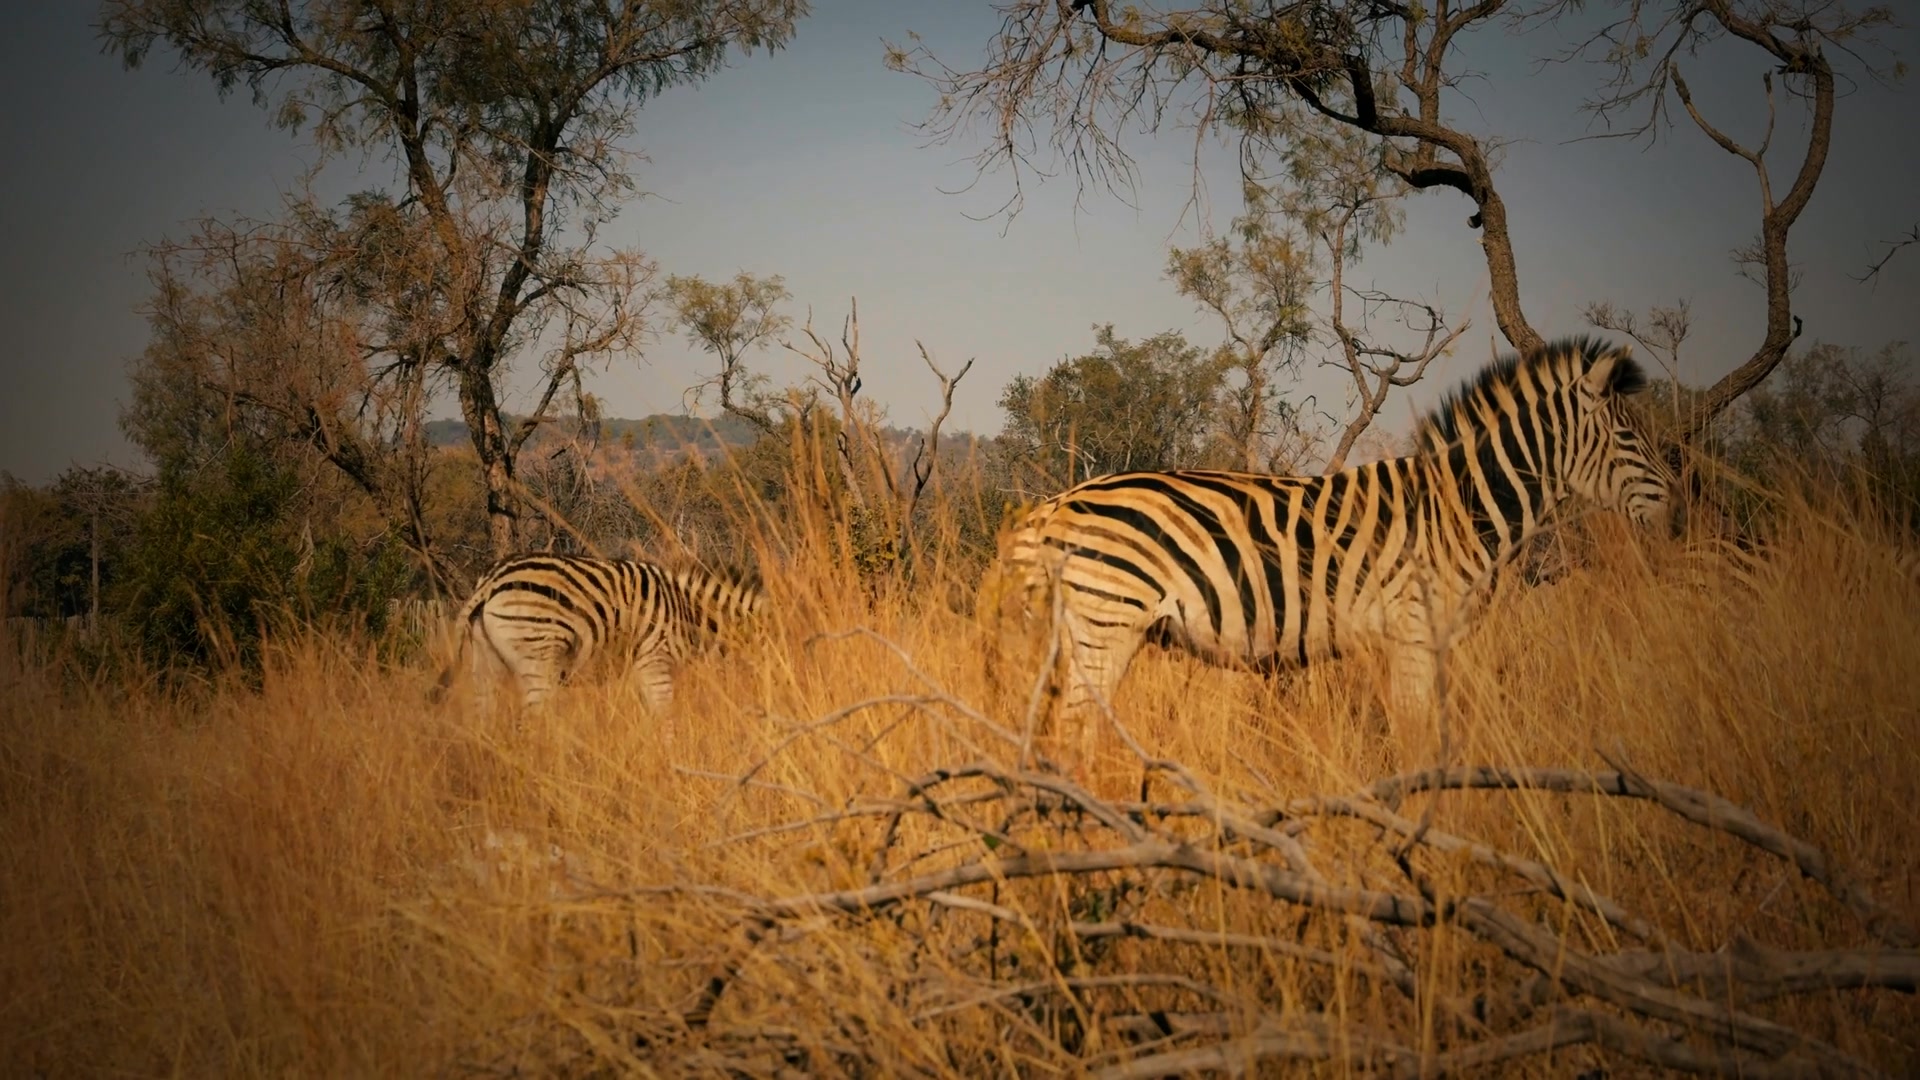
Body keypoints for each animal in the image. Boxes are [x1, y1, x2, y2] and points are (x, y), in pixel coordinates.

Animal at [430, 553, 768, 712]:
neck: (689, 610)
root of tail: (492, 579)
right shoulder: (655, 662)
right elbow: (666, 719)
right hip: (539, 655)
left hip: (486, 659)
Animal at [976, 335, 1683, 771]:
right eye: (1628, 436)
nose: (1678, 511)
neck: (1457, 510)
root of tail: (1056, 503)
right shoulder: (1414, 633)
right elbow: (1419, 745)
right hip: (1105, 626)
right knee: (1071, 737)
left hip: (1078, 633)